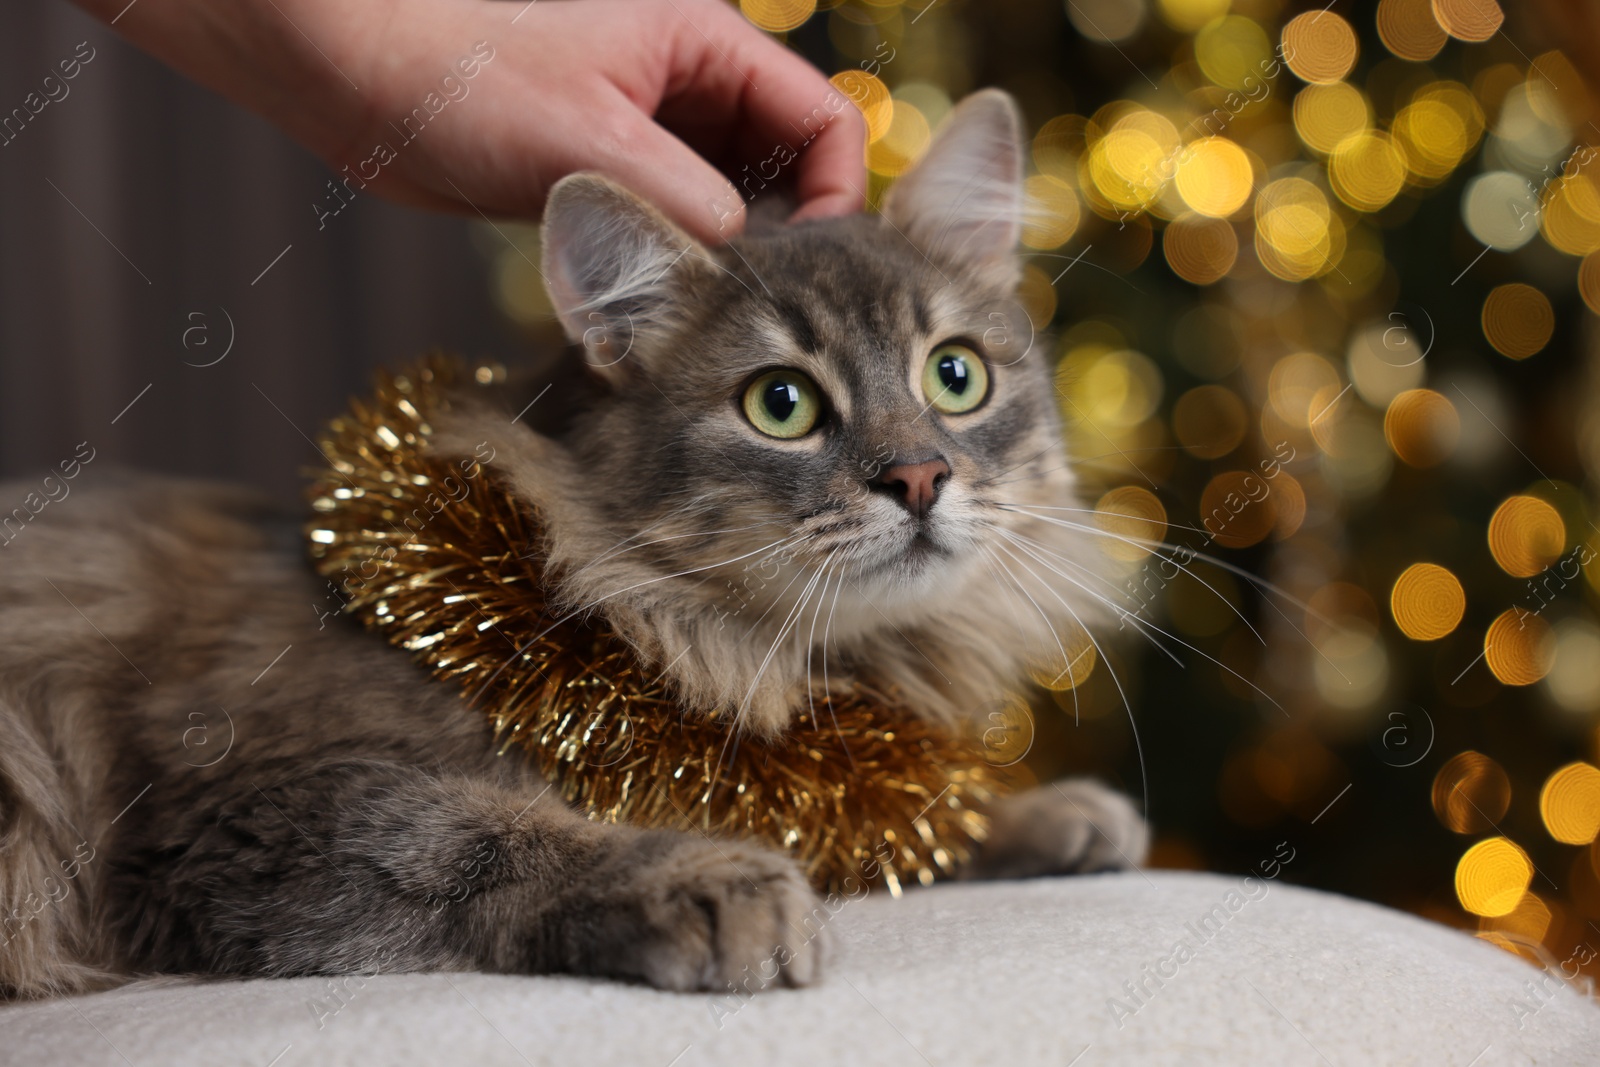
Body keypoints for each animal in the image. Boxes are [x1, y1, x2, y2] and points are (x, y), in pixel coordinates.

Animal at [0, 89, 1152, 1004]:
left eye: (956, 376)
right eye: (780, 404)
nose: (918, 477)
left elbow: (890, 820)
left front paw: (1042, 816)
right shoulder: (242, 807)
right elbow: (486, 829)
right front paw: (708, 880)